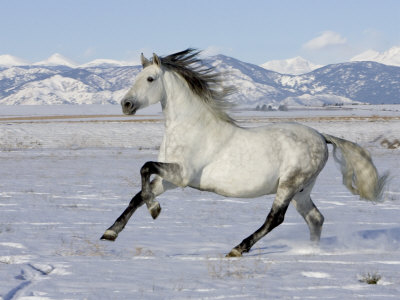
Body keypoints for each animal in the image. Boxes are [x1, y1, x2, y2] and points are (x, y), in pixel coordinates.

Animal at [101, 49, 388, 258]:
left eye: (150, 79)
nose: (126, 105)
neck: (190, 127)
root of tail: (321, 135)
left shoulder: (181, 175)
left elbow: (145, 167)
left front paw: (155, 210)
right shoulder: (169, 180)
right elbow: (138, 195)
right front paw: (110, 232)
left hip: (289, 184)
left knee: (276, 218)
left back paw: (238, 248)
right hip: (302, 190)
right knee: (315, 218)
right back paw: (311, 252)